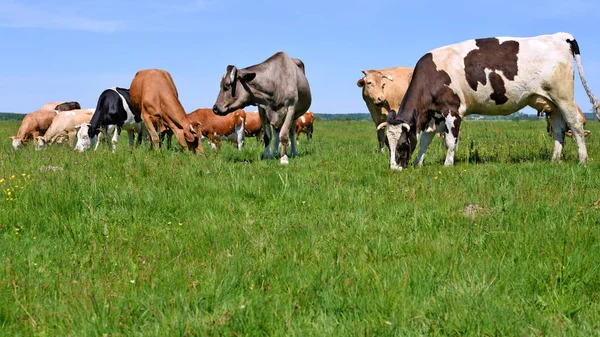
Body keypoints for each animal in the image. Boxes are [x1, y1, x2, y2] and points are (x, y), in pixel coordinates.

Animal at [382, 32, 596, 169]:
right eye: (387, 144)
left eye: (402, 144)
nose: (394, 169)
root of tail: (561, 35)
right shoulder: (433, 115)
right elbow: (425, 140)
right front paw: (418, 163)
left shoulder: (452, 110)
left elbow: (450, 141)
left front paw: (447, 165)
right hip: (550, 101)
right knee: (559, 128)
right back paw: (555, 160)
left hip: (564, 95)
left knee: (575, 124)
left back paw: (583, 160)